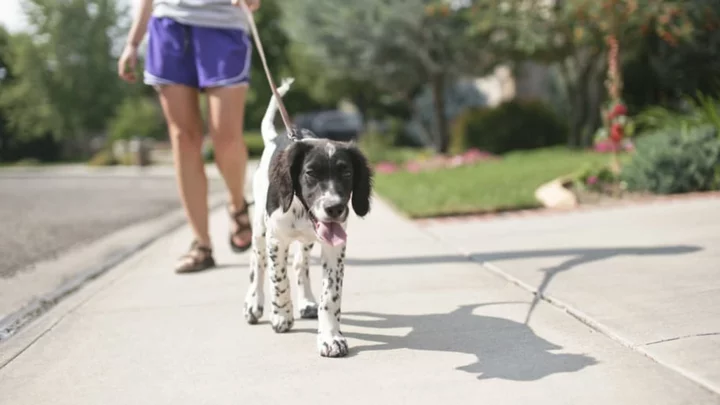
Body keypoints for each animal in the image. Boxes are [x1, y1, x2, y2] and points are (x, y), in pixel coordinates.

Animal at [245, 76, 374, 356]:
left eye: (347, 173)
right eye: (310, 173)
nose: (335, 208)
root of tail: (274, 139)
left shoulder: (335, 246)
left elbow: (331, 296)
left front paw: (330, 337)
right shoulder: (276, 240)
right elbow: (278, 279)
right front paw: (281, 315)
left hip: (307, 241)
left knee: (299, 264)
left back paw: (305, 302)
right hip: (260, 229)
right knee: (257, 264)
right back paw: (254, 304)